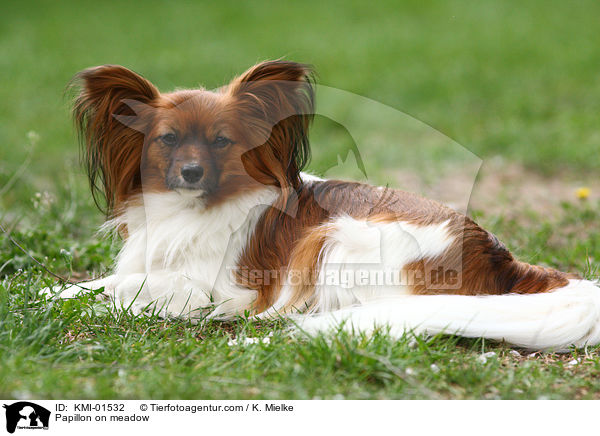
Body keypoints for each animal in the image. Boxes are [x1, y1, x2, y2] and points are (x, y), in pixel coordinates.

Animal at [52, 59, 600, 350]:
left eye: (222, 142)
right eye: (167, 140)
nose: (191, 173)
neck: (190, 209)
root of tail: (502, 260)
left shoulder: (216, 287)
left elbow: (133, 286)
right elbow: (97, 283)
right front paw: (51, 296)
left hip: (333, 238)